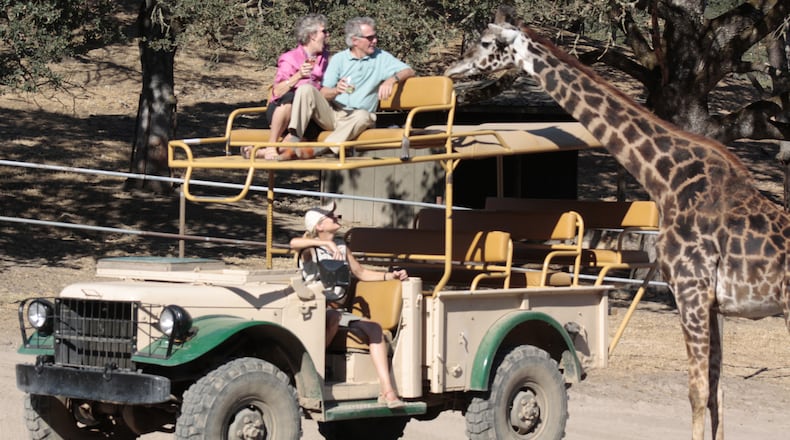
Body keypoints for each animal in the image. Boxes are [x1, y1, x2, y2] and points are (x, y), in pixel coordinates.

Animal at [445, 15, 790, 440]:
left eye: (485, 42)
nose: (453, 70)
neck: (667, 181)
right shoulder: (712, 303)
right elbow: (715, 392)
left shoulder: (690, 291)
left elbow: (695, 393)